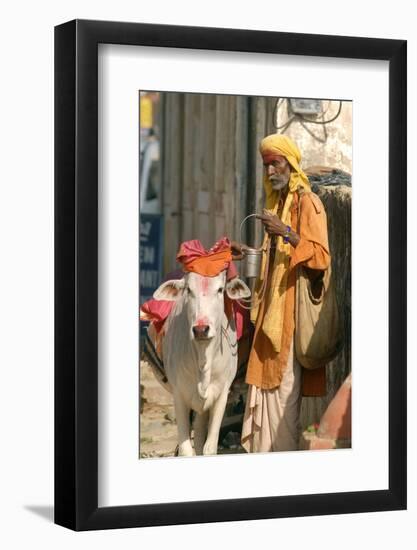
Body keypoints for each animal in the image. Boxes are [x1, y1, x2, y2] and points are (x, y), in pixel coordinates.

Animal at [154, 272, 249, 458]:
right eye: (189, 290)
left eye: (220, 289)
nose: (201, 329)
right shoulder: (179, 395)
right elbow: (185, 450)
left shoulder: (222, 395)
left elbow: (209, 448)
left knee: (198, 434)